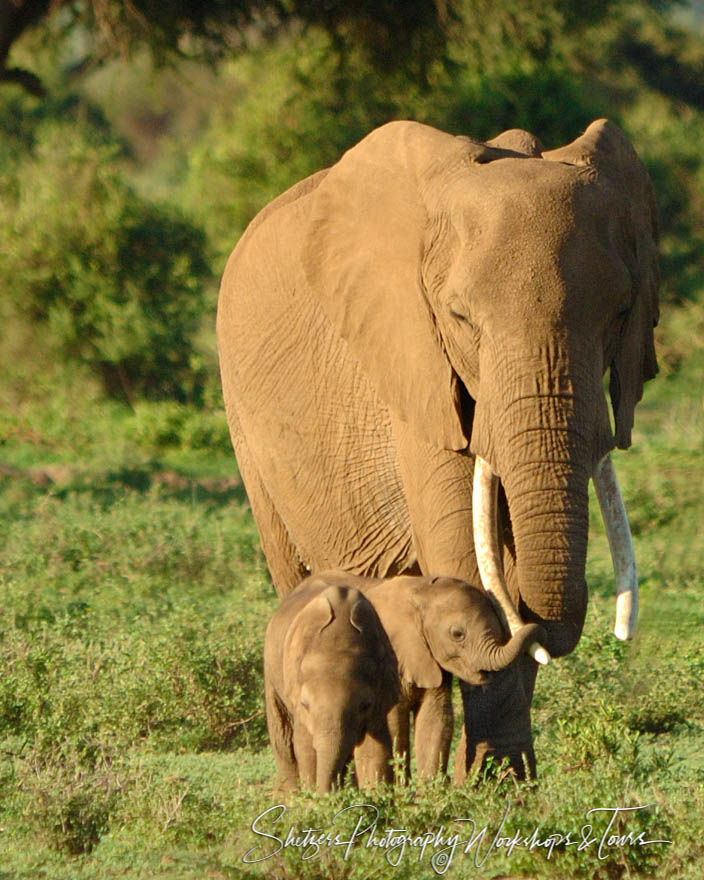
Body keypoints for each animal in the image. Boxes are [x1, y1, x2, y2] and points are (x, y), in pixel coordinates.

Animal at [264, 576, 398, 796]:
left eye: (365, 706)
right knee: (282, 736)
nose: (325, 795)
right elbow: (305, 747)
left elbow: (375, 748)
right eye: (305, 705)